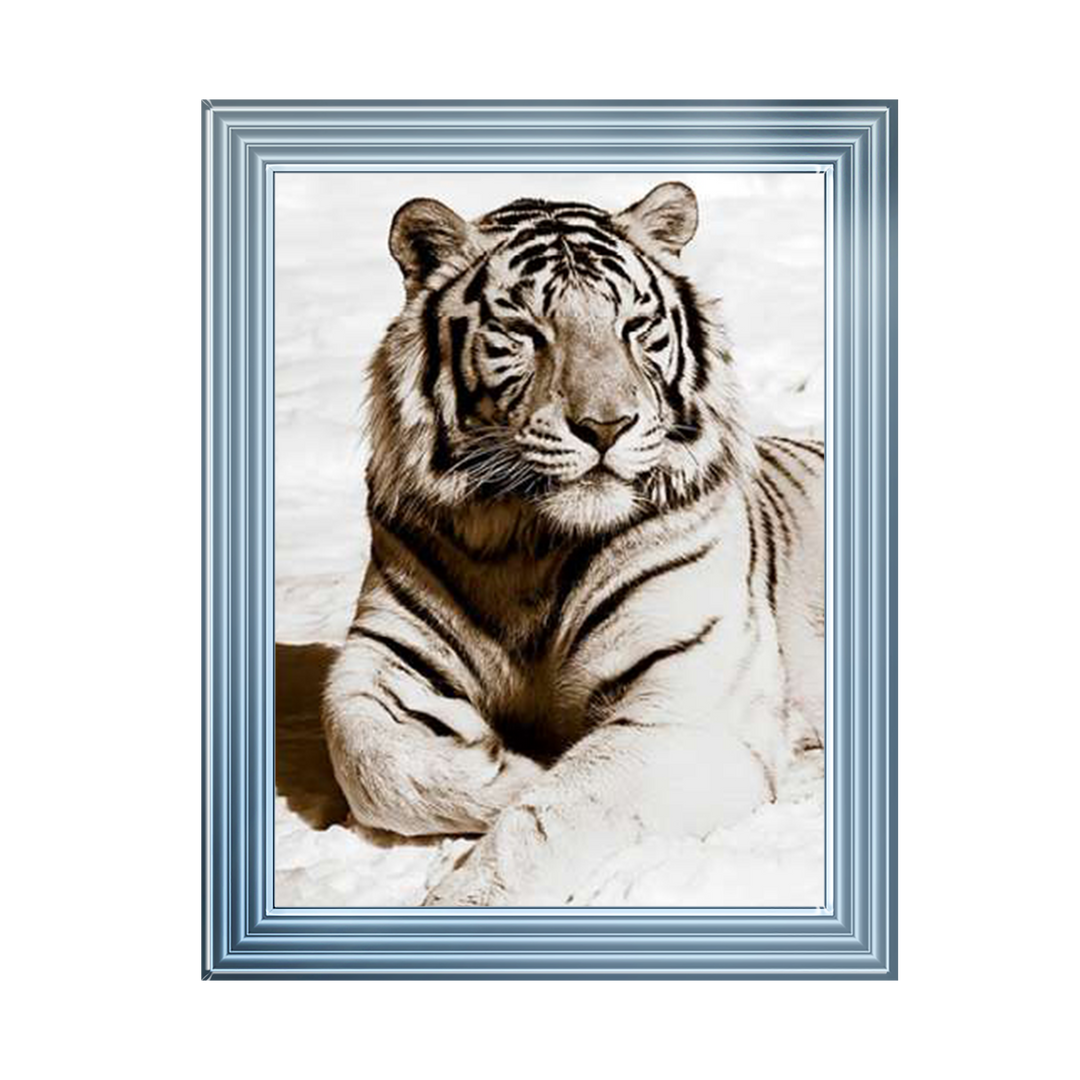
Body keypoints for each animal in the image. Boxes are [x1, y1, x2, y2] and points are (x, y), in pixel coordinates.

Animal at [322, 182, 825, 907]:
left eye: (634, 328)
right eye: (525, 333)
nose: (607, 426)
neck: (528, 541)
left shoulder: (690, 709)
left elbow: (555, 815)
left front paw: (470, 889)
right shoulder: (382, 654)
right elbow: (368, 762)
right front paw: (506, 763)